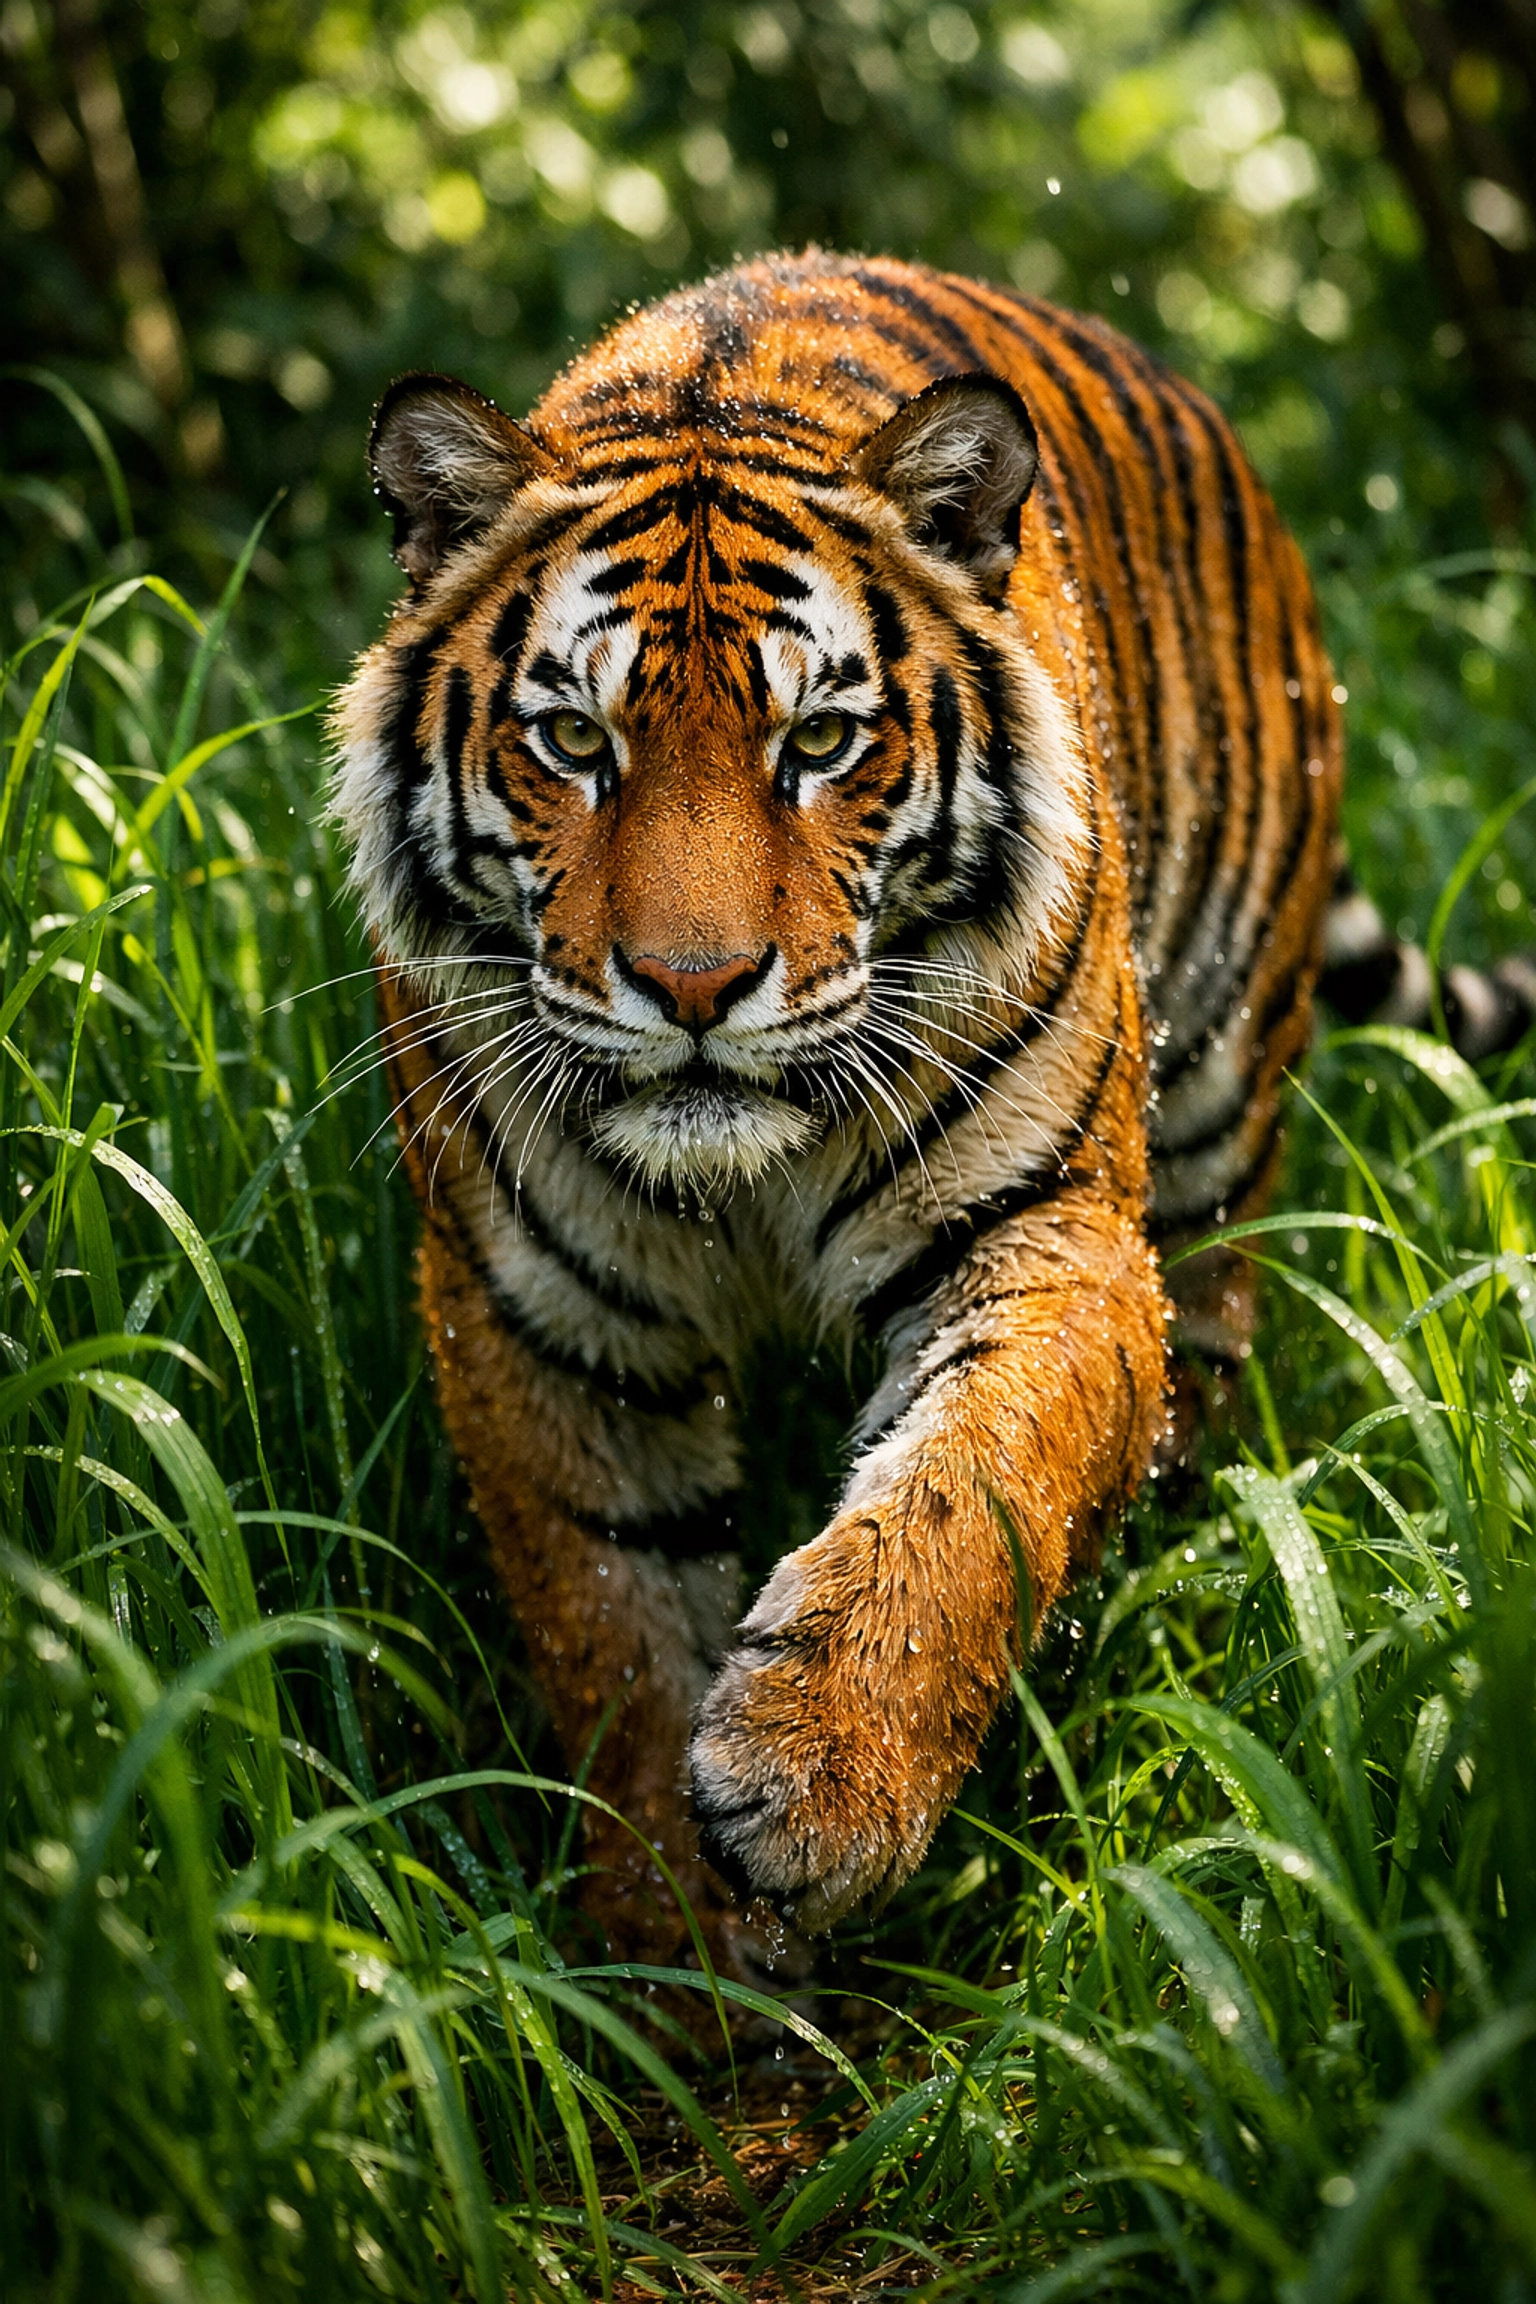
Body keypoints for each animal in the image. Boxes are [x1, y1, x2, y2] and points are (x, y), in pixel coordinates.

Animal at [330, 249, 1493, 1980]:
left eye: (820, 740)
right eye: (574, 742)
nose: (691, 985)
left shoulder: (1053, 1238)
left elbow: (973, 1484)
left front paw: (819, 1780)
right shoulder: (537, 1324)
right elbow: (612, 1632)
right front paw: (683, 1958)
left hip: (1219, 1103)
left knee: (1210, 1332)